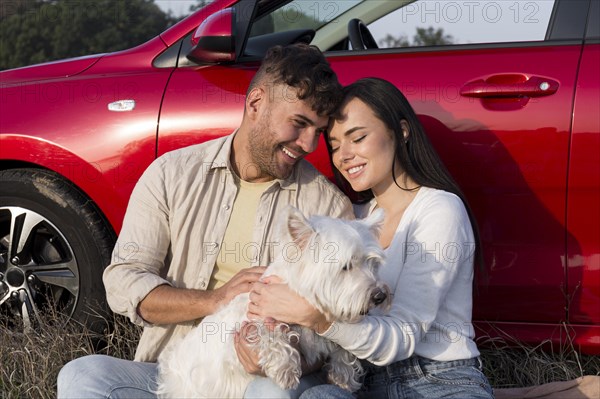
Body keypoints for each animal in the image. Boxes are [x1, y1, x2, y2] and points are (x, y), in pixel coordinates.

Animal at [156, 208, 390, 398]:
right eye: (346, 266)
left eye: (372, 262)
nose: (379, 296)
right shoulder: (245, 330)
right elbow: (271, 335)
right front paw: (286, 371)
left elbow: (343, 348)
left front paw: (344, 377)